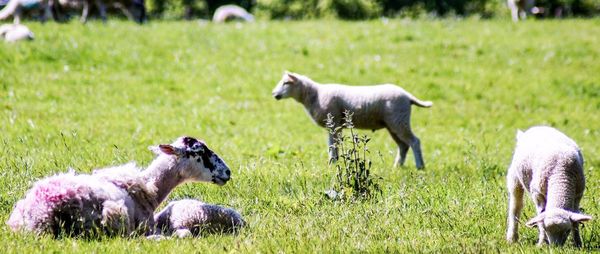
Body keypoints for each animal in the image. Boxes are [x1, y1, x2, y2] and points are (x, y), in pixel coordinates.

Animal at [272, 71, 432, 170]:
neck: (314, 95)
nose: (274, 94)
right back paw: (397, 166)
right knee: (403, 145)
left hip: (399, 120)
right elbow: (334, 145)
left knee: (414, 141)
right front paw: (335, 162)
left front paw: (332, 162)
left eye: (286, 83)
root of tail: (408, 96)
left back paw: (420, 166)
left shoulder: (334, 123)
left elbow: (332, 145)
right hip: (393, 124)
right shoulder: (337, 126)